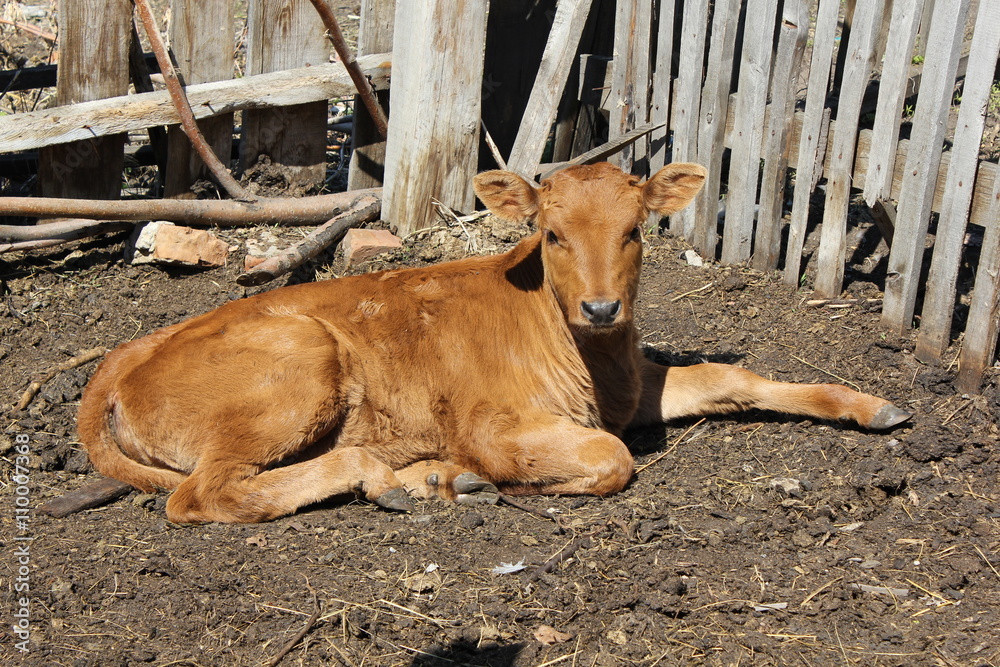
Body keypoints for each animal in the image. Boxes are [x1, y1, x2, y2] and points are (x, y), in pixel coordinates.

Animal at [77, 162, 911, 523]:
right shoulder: (492, 422)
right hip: (300, 363)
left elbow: (733, 377)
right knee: (204, 492)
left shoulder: (635, 384)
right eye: (553, 233)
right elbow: (610, 457)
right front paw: (492, 478)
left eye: (634, 229)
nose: (601, 305)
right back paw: (406, 476)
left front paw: (871, 405)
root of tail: (127, 353)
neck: (589, 357)